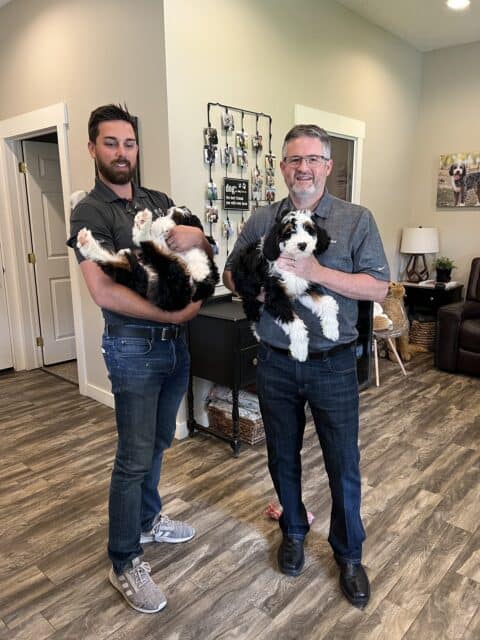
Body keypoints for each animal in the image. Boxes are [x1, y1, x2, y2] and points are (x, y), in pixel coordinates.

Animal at [77, 206, 219, 312]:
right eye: (166, 213)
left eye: (178, 218)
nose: (164, 215)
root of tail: (145, 280)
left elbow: (197, 253)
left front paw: (200, 272)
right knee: (144, 244)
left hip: (173, 276)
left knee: (146, 245)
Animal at [232, 209, 338, 362]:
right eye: (289, 232)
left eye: (309, 229)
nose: (302, 245)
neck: (294, 259)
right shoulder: (275, 297)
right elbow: (295, 323)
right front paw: (300, 350)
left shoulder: (304, 286)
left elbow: (329, 302)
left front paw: (332, 330)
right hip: (250, 290)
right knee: (251, 310)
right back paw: (257, 333)